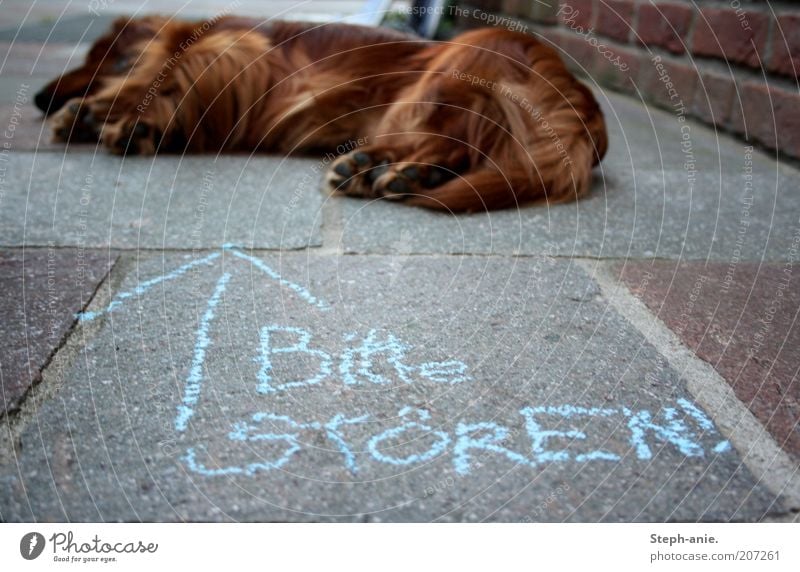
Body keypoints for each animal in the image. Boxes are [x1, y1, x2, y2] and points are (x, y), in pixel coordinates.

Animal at [36, 16, 608, 211]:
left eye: (91, 58)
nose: (39, 98)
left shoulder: (232, 51)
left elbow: (161, 82)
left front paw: (127, 120)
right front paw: (87, 115)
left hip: (456, 64)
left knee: (455, 138)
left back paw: (376, 167)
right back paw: (397, 172)